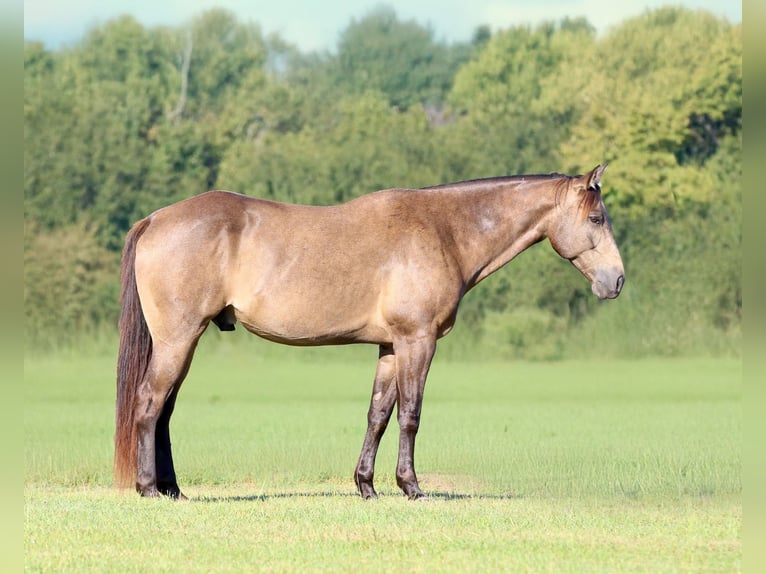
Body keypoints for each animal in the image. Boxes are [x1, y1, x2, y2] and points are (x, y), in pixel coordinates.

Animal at [115, 164, 624, 500]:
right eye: (596, 219)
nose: (616, 281)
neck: (443, 230)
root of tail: (155, 219)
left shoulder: (390, 346)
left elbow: (378, 415)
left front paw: (367, 486)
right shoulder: (417, 341)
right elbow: (411, 414)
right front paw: (412, 487)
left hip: (184, 341)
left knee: (165, 411)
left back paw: (173, 489)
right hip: (179, 339)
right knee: (150, 403)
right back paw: (149, 489)